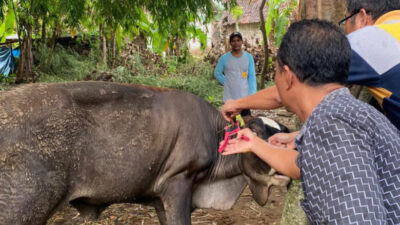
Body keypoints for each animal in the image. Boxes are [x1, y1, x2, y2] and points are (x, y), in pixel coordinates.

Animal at [0, 81, 290, 225]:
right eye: (253, 133)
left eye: (283, 135)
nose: (284, 170)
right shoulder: (178, 181)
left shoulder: (160, 196)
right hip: (22, 207)